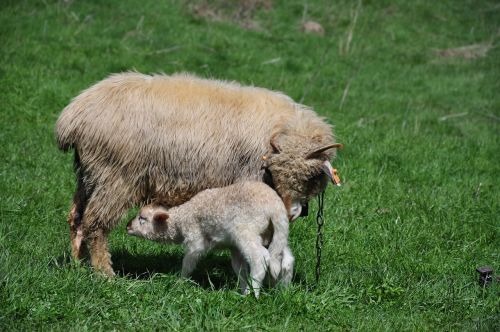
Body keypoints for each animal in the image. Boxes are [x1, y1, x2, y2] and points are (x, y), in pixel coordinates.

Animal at [56, 72, 342, 274]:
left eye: (311, 176)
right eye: (273, 170)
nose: (292, 212)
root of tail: (73, 117)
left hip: (89, 173)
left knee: (75, 218)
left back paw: (78, 265)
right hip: (116, 176)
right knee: (95, 224)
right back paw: (106, 274)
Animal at [127, 180, 294, 296]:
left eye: (142, 218)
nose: (127, 226)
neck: (181, 219)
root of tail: (275, 206)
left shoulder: (195, 240)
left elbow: (188, 263)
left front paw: (180, 281)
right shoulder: (234, 247)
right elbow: (239, 269)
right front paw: (242, 289)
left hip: (246, 230)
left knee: (260, 257)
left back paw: (253, 293)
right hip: (275, 234)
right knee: (285, 259)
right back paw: (282, 291)